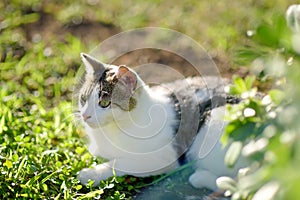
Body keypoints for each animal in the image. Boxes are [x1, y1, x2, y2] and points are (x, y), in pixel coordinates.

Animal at [75, 52, 246, 191]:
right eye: (83, 99)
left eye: (104, 103)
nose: (85, 116)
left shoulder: (164, 159)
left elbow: (119, 163)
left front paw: (90, 173)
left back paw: (199, 177)